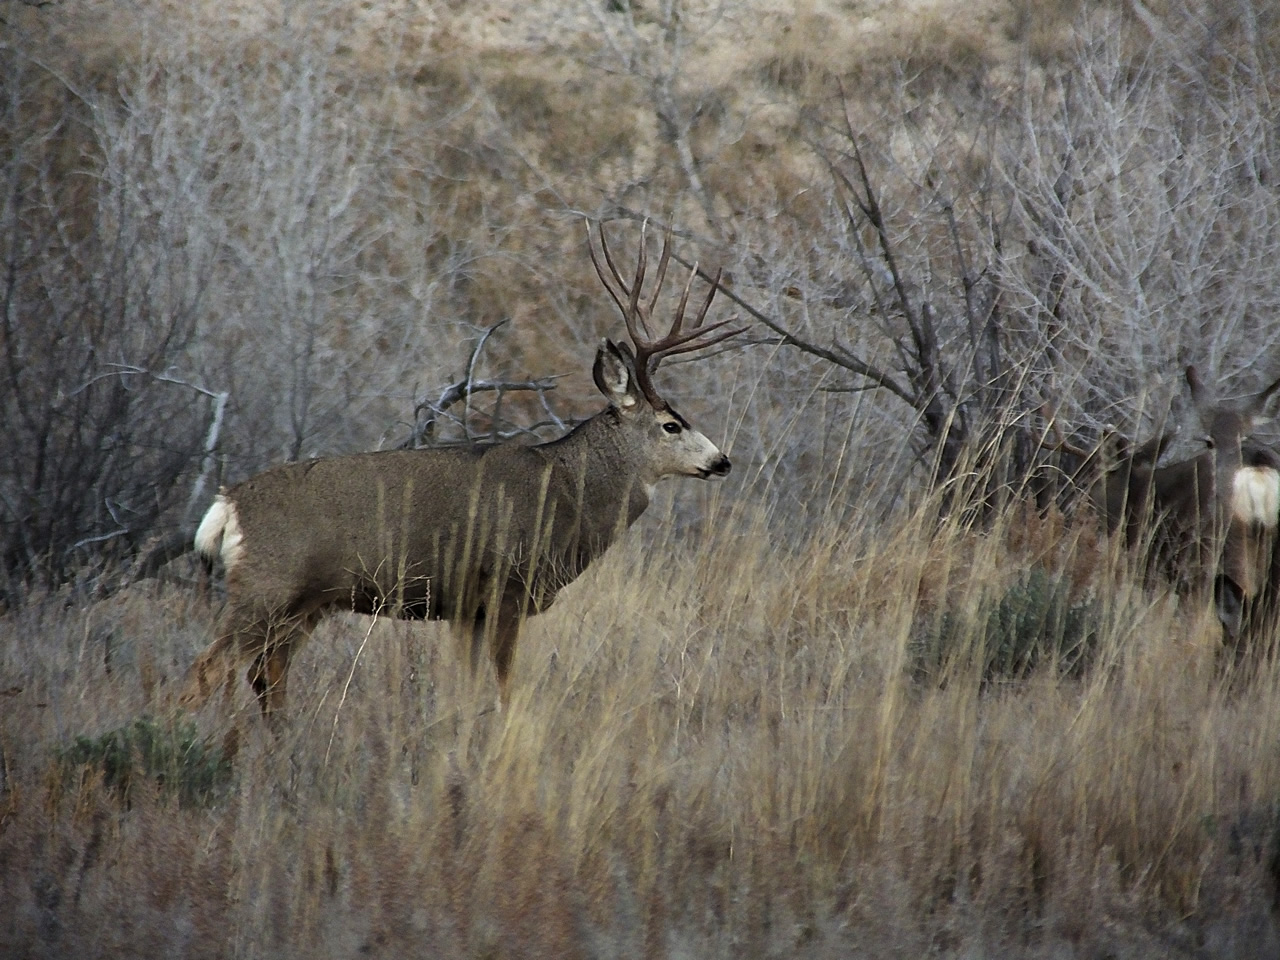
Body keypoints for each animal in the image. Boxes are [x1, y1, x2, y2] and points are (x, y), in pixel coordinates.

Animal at [181, 222, 742, 716]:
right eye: (671, 424)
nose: (722, 461)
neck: (565, 491)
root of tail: (228, 505)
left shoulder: (464, 609)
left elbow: (469, 693)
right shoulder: (503, 590)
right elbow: (504, 690)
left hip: (305, 604)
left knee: (265, 675)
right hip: (266, 587)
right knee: (207, 671)